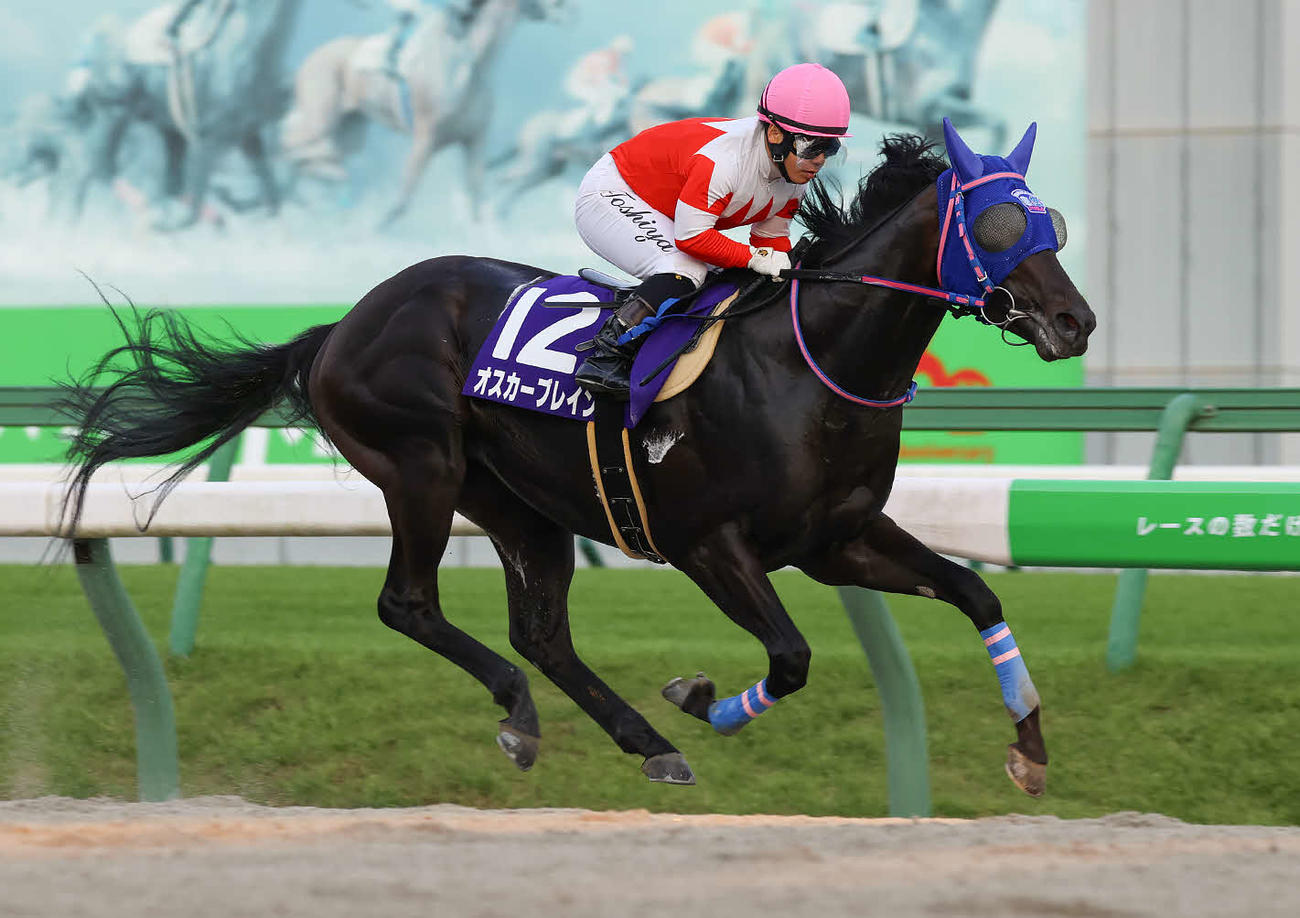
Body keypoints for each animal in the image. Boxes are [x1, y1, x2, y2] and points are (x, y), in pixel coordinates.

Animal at [61, 121, 1094, 794]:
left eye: (1052, 221)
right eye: (1000, 225)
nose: (1074, 322)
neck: (811, 366)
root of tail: (342, 326)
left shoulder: (836, 539)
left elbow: (976, 592)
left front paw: (1031, 750)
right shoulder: (709, 543)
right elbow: (794, 656)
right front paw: (701, 697)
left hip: (521, 504)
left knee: (542, 633)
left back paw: (637, 739)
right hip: (423, 468)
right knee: (411, 605)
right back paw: (528, 714)